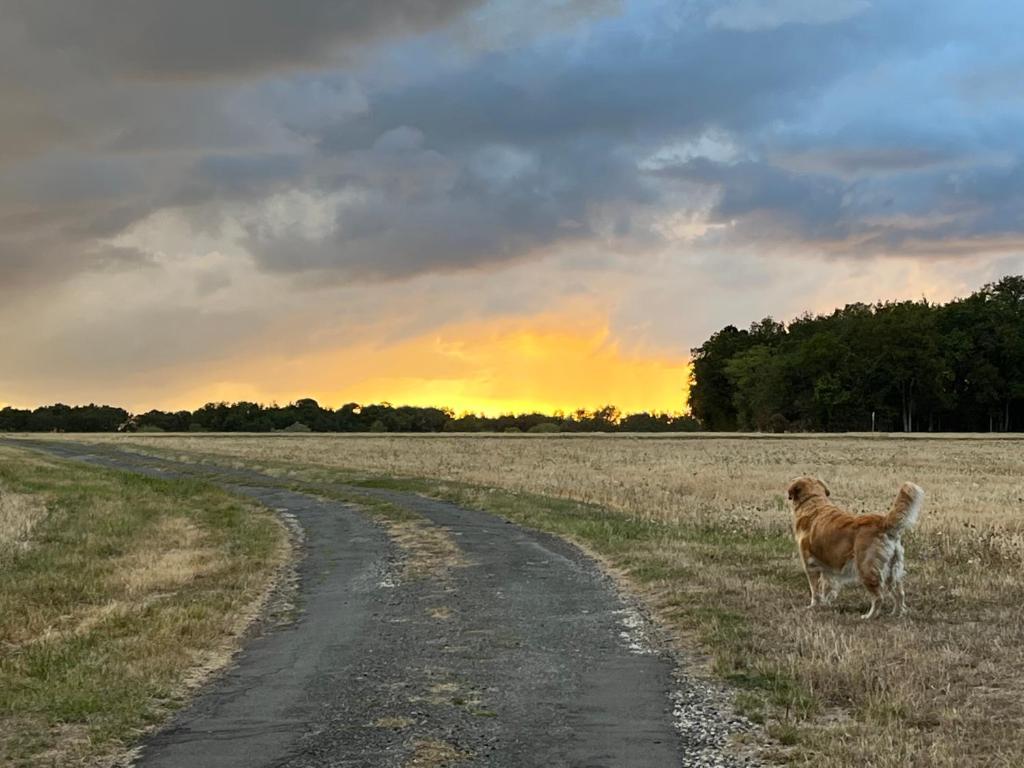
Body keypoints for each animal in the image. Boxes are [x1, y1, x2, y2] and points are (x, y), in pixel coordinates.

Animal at [786, 475, 925, 618]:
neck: (813, 501)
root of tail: (883, 521)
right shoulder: (827, 568)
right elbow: (828, 587)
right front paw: (826, 604)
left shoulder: (810, 565)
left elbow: (815, 591)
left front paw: (813, 606)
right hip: (893, 570)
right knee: (899, 594)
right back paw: (895, 614)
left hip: (866, 568)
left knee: (879, 597)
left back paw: (869, 616)